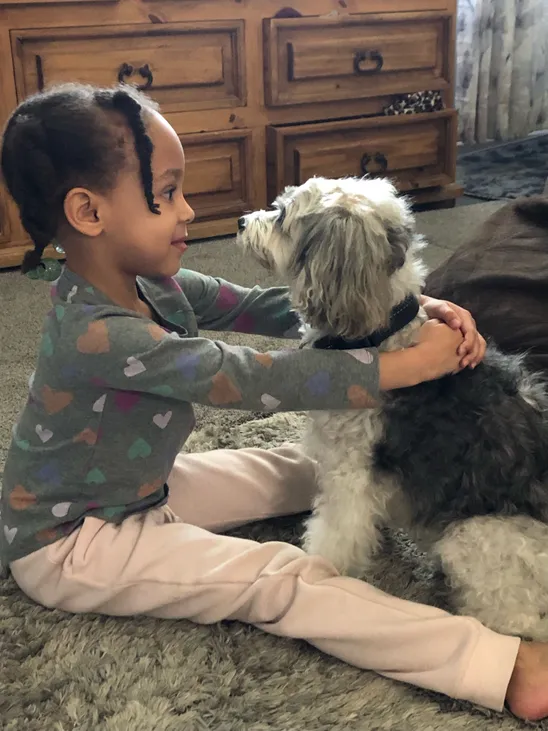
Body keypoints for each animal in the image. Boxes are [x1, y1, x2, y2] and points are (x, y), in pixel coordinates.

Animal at [240, 176, 548, 640]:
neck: (379, 336)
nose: (241, 222)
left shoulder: (349, 478)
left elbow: (334, 537)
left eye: (281, 214)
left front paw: (318, 569)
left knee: (516, 623)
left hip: (474, 539)